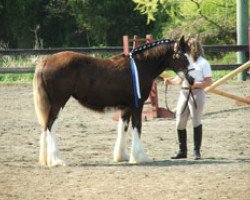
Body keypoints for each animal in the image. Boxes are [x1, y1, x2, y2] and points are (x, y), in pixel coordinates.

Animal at [32, 36, 189, 167]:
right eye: (182, 55)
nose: (189, 76)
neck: (141, 66)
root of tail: (45, 61)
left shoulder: (126, 107)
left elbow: (123, 128)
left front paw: (122, 156)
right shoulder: (137, 106)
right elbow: (137, 127)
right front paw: (140, 157)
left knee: (45, 126)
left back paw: (47, 159)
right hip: (58, 103)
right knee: (50, 126)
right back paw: (57, 160)